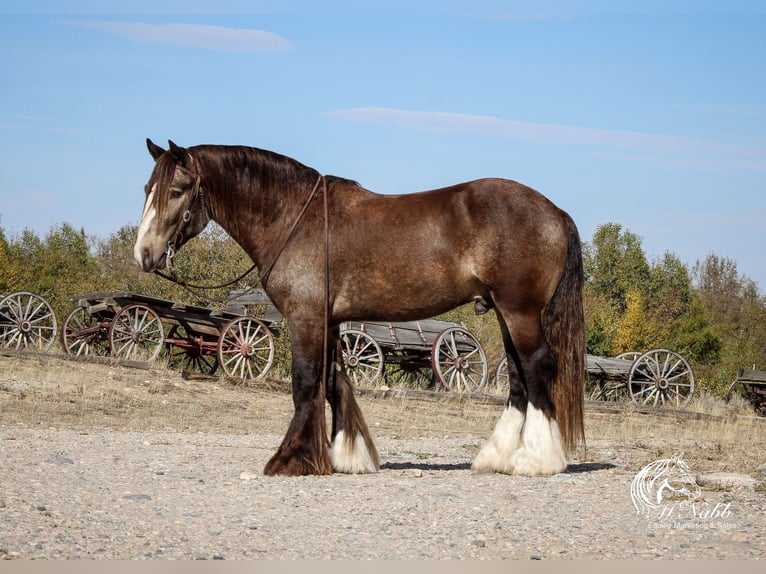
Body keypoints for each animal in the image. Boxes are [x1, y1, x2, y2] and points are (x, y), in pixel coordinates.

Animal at [134, 138, 588, 476]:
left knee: (538, 367)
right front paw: (346, 456)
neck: (292, 218)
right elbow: (334, 381)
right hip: (504, 312)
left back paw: (537, 460)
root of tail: (555, 211)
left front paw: (290, 459)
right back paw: (497, 457)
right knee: (517, 378)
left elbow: (306, 383)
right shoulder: (330, 321)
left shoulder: (305, 317)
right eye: (146, 189)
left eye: (176, 191)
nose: (144, 253)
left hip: (519, 311)